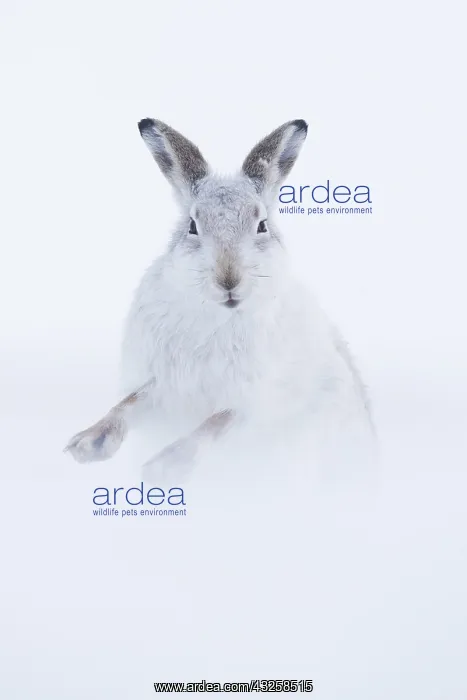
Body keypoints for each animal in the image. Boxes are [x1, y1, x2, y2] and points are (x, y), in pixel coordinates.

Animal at [65, 118, 376, 479]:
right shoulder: (162, 383)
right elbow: (130, 402)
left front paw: (166, 465)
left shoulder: (254, 401)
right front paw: (88, 444)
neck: (217, 314)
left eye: (262, 225)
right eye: (192, 226)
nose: (228, 281)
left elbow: (216, 423)